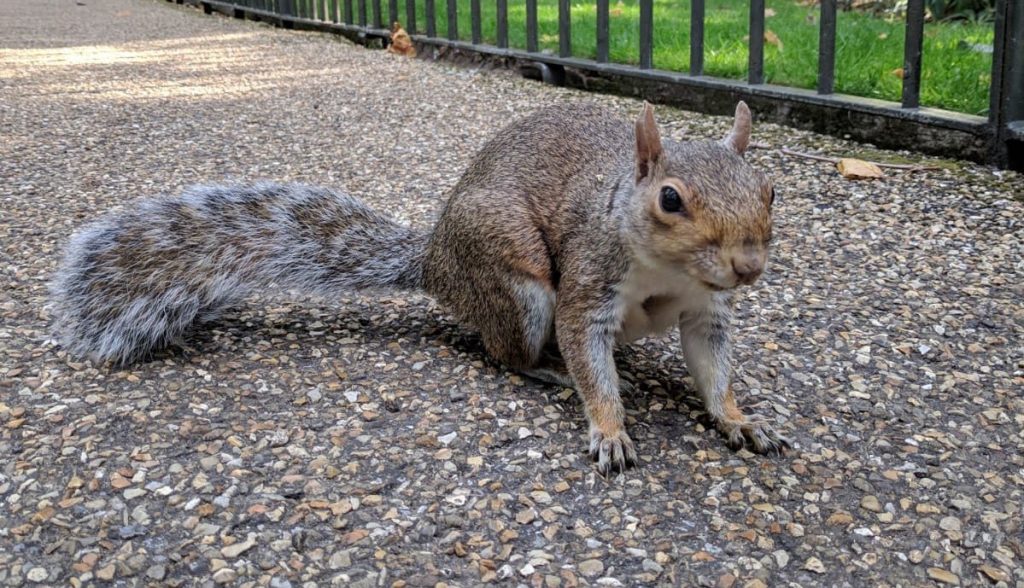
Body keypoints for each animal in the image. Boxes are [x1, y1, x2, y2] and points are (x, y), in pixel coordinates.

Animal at [50, 101, 787, 475]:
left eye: (770, 190)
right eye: (670, 199)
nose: (749, 266)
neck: (670, 275)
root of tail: (435, 263)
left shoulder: (708, 312)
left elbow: (714, 370)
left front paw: (740, 420)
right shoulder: (589, 284)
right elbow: (587, 352)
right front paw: (608, 428)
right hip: (515, 283)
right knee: (501, 350)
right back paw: (545, 370)